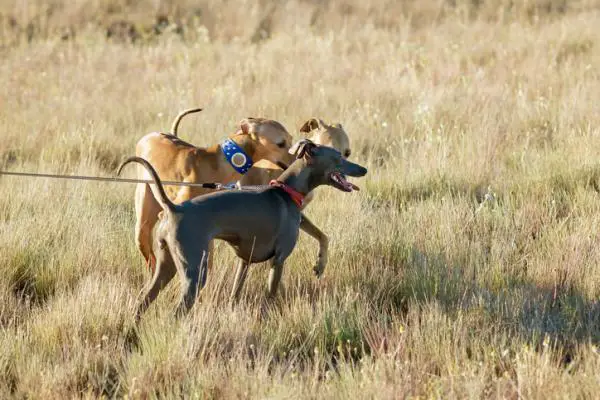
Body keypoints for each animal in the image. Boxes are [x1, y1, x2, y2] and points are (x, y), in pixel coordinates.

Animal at [118, 139, 368, 320]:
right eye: (338, 157)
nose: (364, 169)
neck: (286, 191)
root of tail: (174, 208)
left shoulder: (244, 261)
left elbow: (235, 293)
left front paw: (319, 264)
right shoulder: (278, 260)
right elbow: (271, 296)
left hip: (165, 266)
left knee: (141, 303)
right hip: (194, 273)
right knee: (176, 312)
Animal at [135, 108, 296, 272]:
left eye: (291, 139)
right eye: (281, 143)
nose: (298, 160)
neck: (217, 164)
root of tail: (151, 135)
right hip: (143, 224)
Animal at [239, 117, 352, 276]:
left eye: (347, 153)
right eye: (330, 151)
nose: (344, 179)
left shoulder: (298, 215)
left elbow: (323, 236)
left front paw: (320, 264)